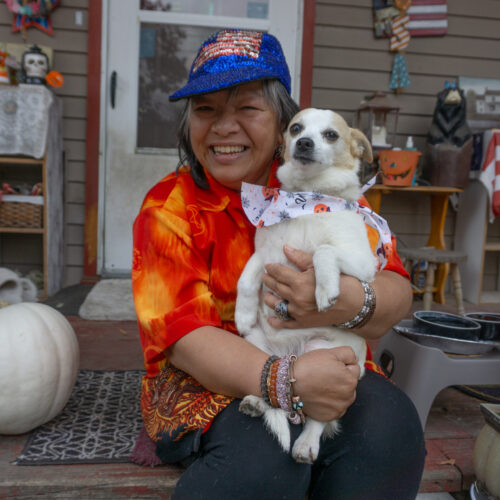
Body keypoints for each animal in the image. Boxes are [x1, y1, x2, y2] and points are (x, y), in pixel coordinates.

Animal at [236, 108, 376, 464]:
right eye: (296, 128)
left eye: (331, 135)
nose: (304, 143)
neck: (307, 199)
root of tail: (294, 354)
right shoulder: (265, 252)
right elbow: (247, 276)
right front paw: (242, 313)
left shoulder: (363, 261)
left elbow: (324, 251)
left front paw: (325, 290)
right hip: (260, 349)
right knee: (276, 384)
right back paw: (257, 402)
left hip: (328, 365)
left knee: (318, 417)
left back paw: (306, 444)